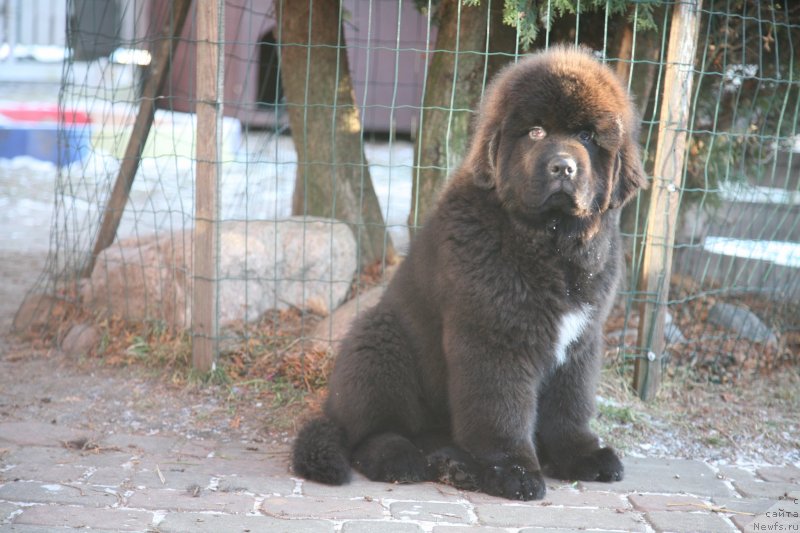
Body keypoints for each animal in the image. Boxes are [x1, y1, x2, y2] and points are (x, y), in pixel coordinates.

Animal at [290, 45, 648, 498]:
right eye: (535, 132)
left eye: (586, 137)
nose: (563, 167)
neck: (551, 245)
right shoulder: (495, 336)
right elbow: (501, 410)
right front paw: (515, 471)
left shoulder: (581, 338)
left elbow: (570, 405)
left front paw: (581, 454)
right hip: (377, 342)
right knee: (371, 432)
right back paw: (403, 459)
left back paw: (454, 464)